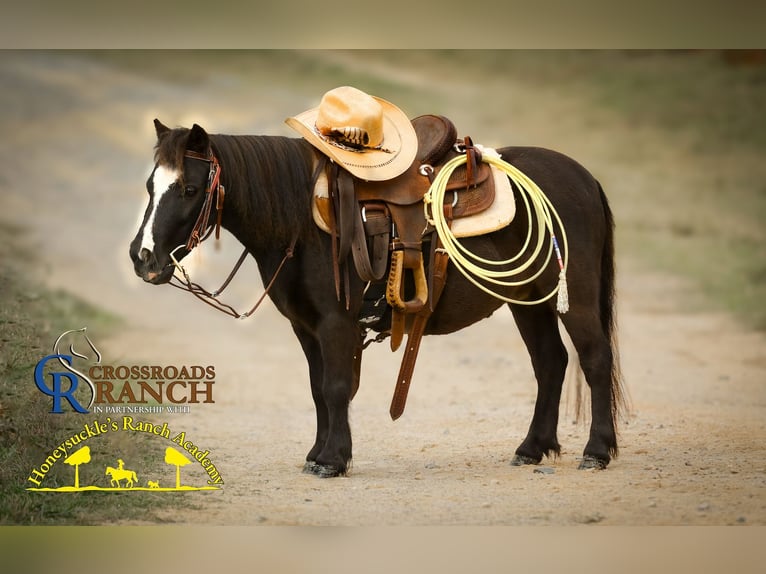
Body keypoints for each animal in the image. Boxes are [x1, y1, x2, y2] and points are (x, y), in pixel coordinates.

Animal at [129, 119, 627, 478]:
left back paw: (597, 451)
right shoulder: (306, 328)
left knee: (595, 359)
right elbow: (318, 389)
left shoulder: (336, 324)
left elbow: (335, 387)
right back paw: (532, 449)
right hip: (529, 300)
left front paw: (333, 460)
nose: (143, 257)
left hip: (575, 297)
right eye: (150, 186)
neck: (302, 220)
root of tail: (584, 177)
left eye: (189, 189)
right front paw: (317, 452)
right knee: (550, 363)